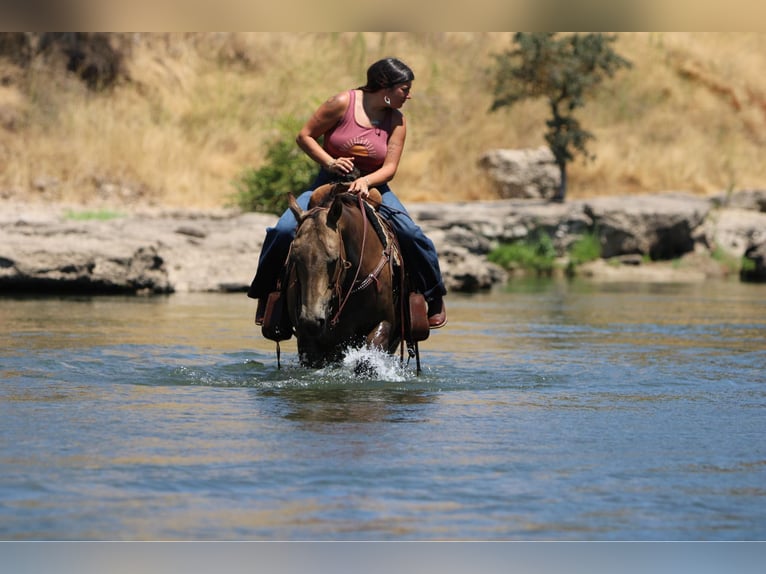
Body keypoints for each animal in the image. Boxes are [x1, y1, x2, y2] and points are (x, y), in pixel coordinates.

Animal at [262, 182, 432, 376]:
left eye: (334, 259)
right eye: (294, 258)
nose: (312, 320)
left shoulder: (383, 324)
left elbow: (366, 360)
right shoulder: (308, 338)